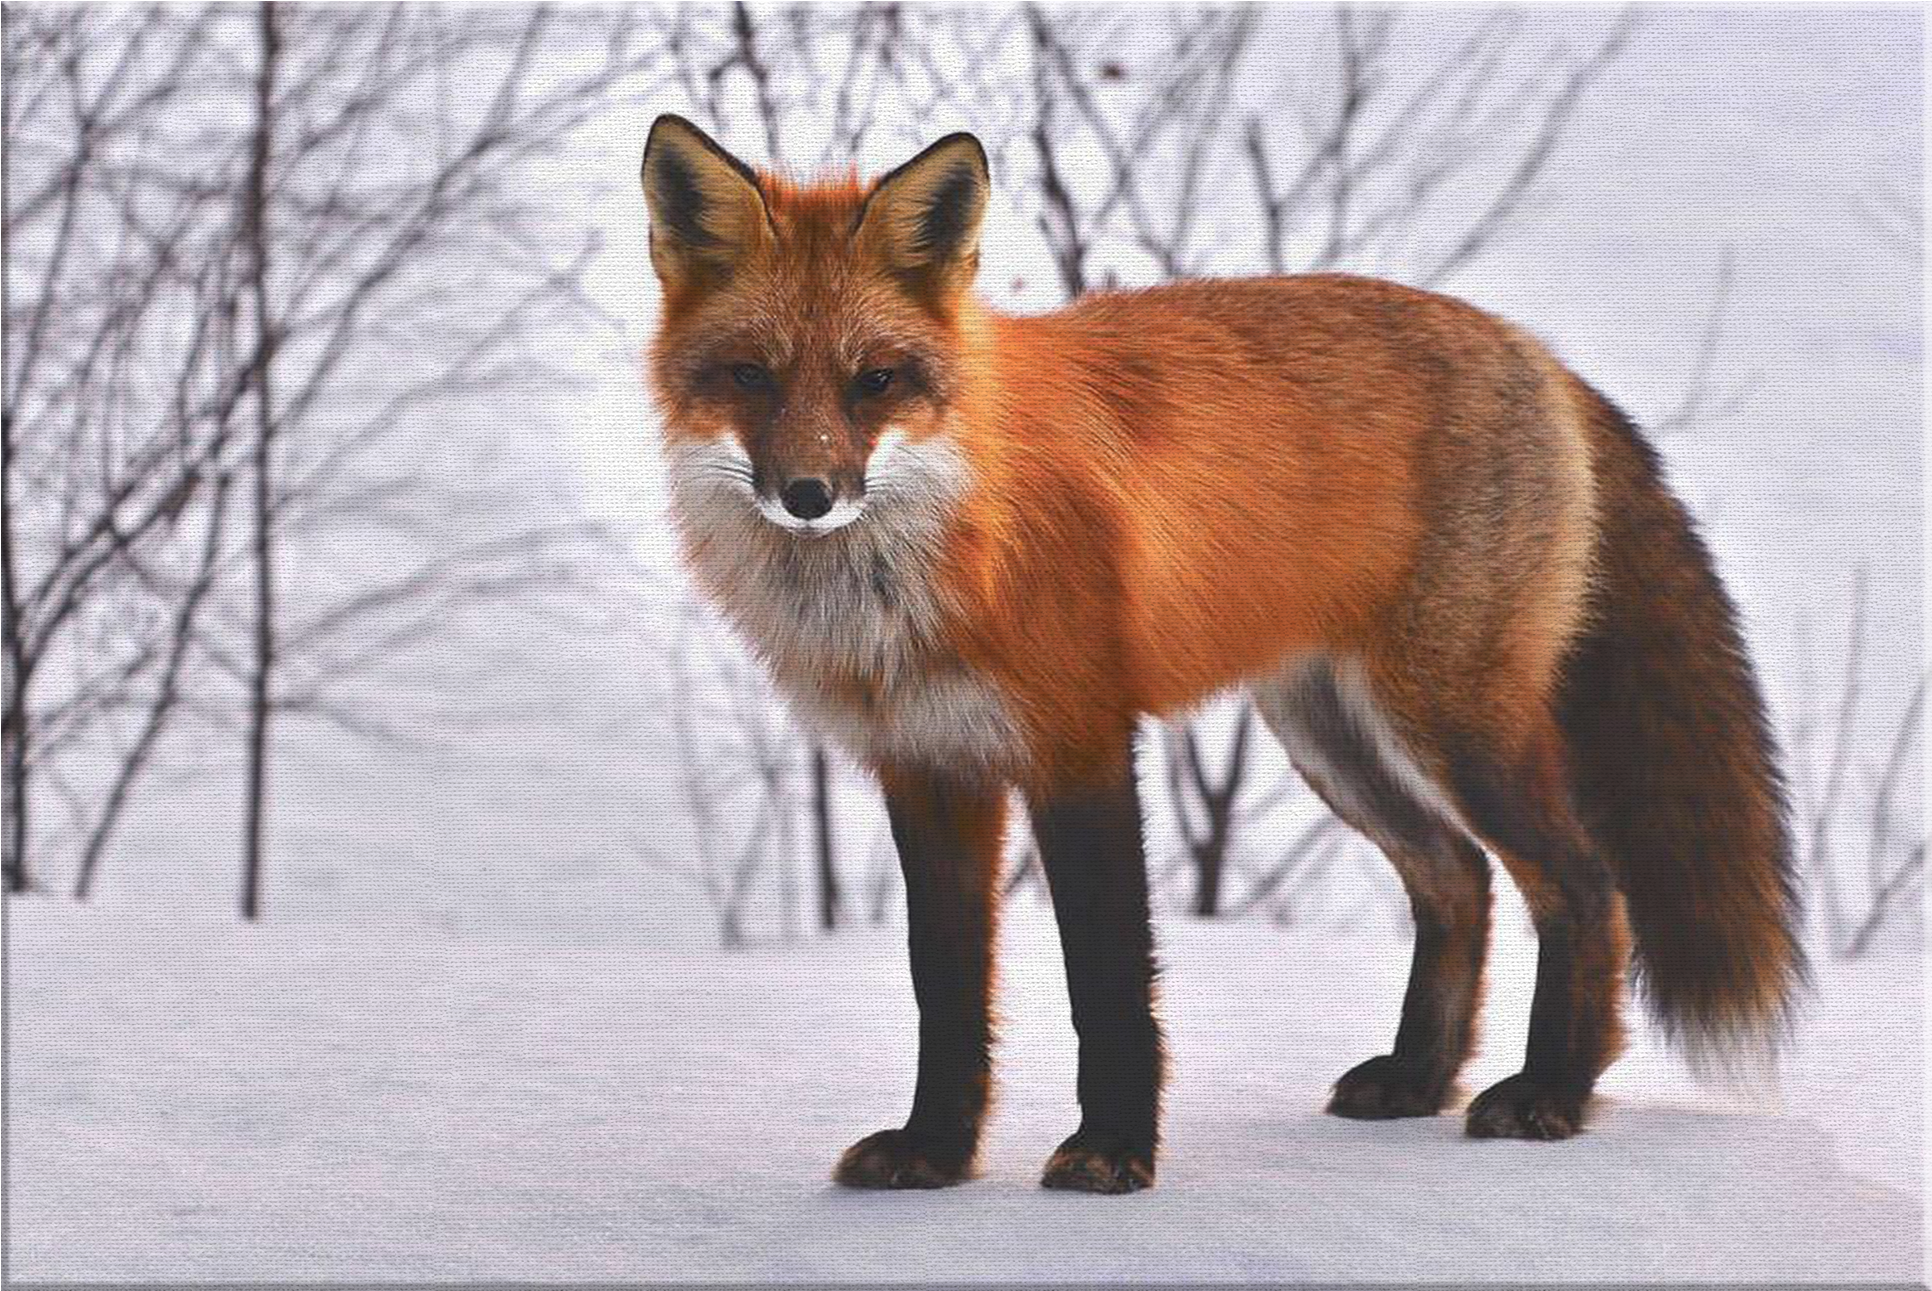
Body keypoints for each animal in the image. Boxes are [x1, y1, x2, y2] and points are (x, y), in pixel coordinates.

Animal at [638, 114, 1805, 1194]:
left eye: (875, 381)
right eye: (750, 375)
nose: (809, 495)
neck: (934, 554)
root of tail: (1537, 352)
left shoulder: (1080, 744)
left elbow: (1108, 980)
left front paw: (1112, 1151)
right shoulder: (928, 768)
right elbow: (947, 988)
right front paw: (936, 1152)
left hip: (1454, 723)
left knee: (1585, 887)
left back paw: (1552, 1092)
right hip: (1331, 735)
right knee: (1457, 877)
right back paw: (1420, 1078)